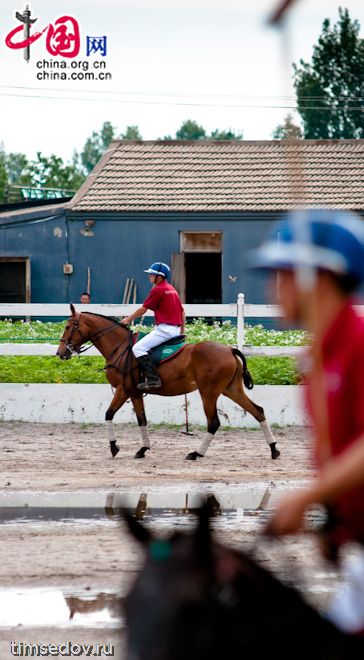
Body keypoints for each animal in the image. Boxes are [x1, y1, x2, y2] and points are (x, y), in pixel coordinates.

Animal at [56, 304, 278, 458]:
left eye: (67, 326)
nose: (60, 353)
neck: (120, 347)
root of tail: (230, 349)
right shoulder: (135, 392)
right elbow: (142, 419)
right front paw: (143, 449)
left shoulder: (123, 389)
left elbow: (109, 414)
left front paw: (114, 447)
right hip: (231, 389)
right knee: (258, 411)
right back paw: (274, 449)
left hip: (208, 392)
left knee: (214, 422)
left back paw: (197, 453)